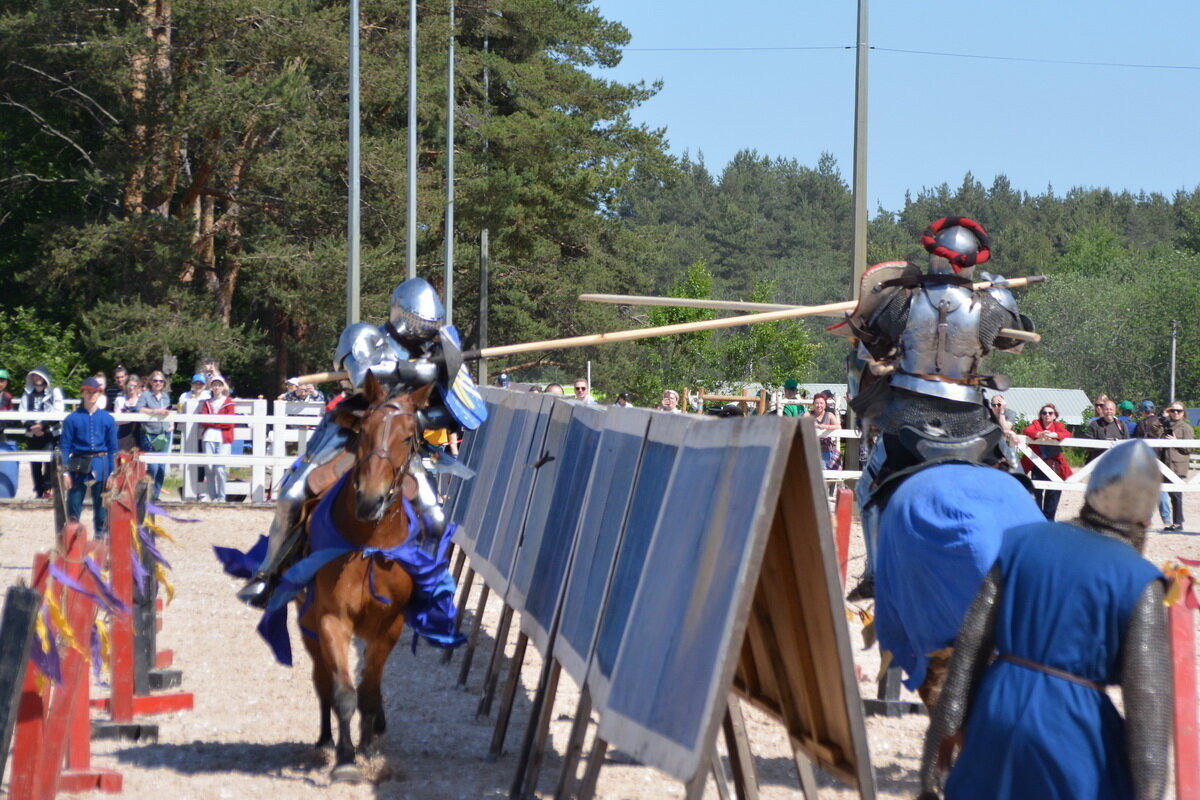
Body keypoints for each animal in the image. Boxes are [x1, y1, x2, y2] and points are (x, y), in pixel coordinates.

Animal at [300, 376, 436, 782]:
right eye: (365, 431)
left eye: (408, 437)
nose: (369, 500)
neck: (367, 544)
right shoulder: (331, 620)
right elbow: (344, 691)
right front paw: (346, 759)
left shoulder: (387, 625)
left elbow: (370, 690)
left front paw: (368, 746)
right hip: (307, 622)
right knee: (322, 680)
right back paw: (325, 741)